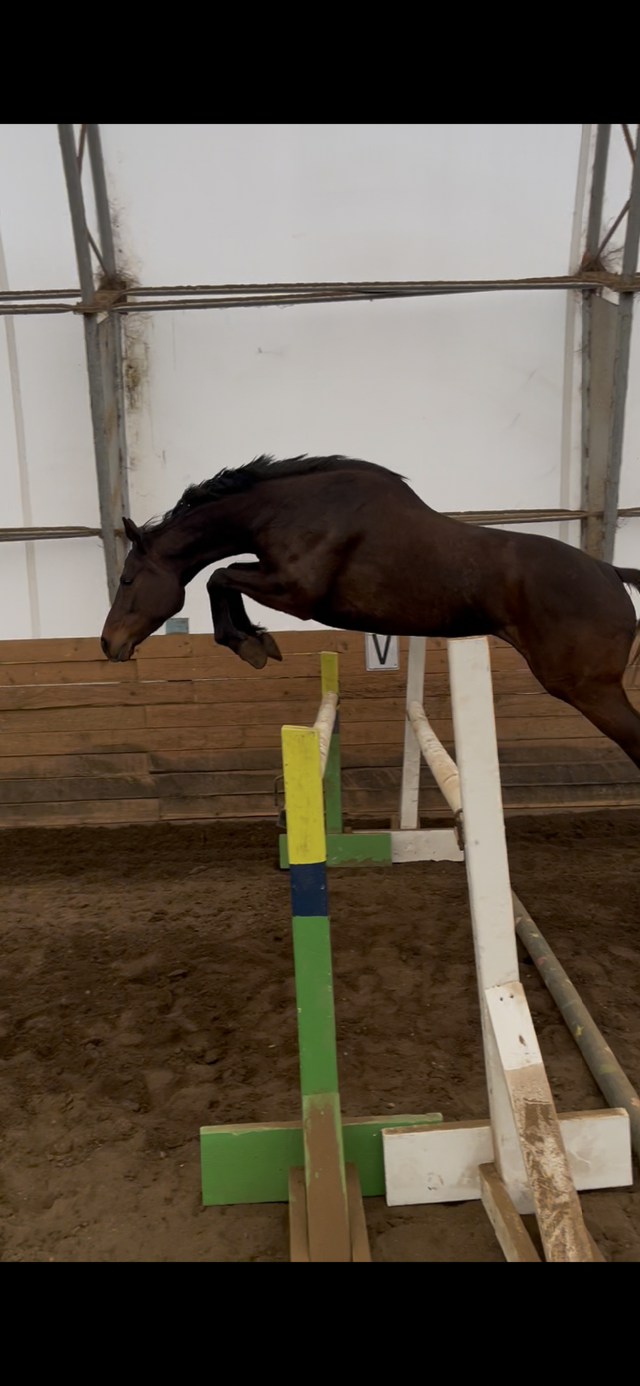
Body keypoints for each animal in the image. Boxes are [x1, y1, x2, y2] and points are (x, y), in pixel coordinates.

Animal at [100, 454, 640, 770]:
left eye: (127, 580)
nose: (109, 644)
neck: (287, 509)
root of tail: (610, 571)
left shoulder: (296, 594)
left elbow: (219, 576)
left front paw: (249, 643)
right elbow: (224, 577)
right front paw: (256, 641)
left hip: (586, 688)